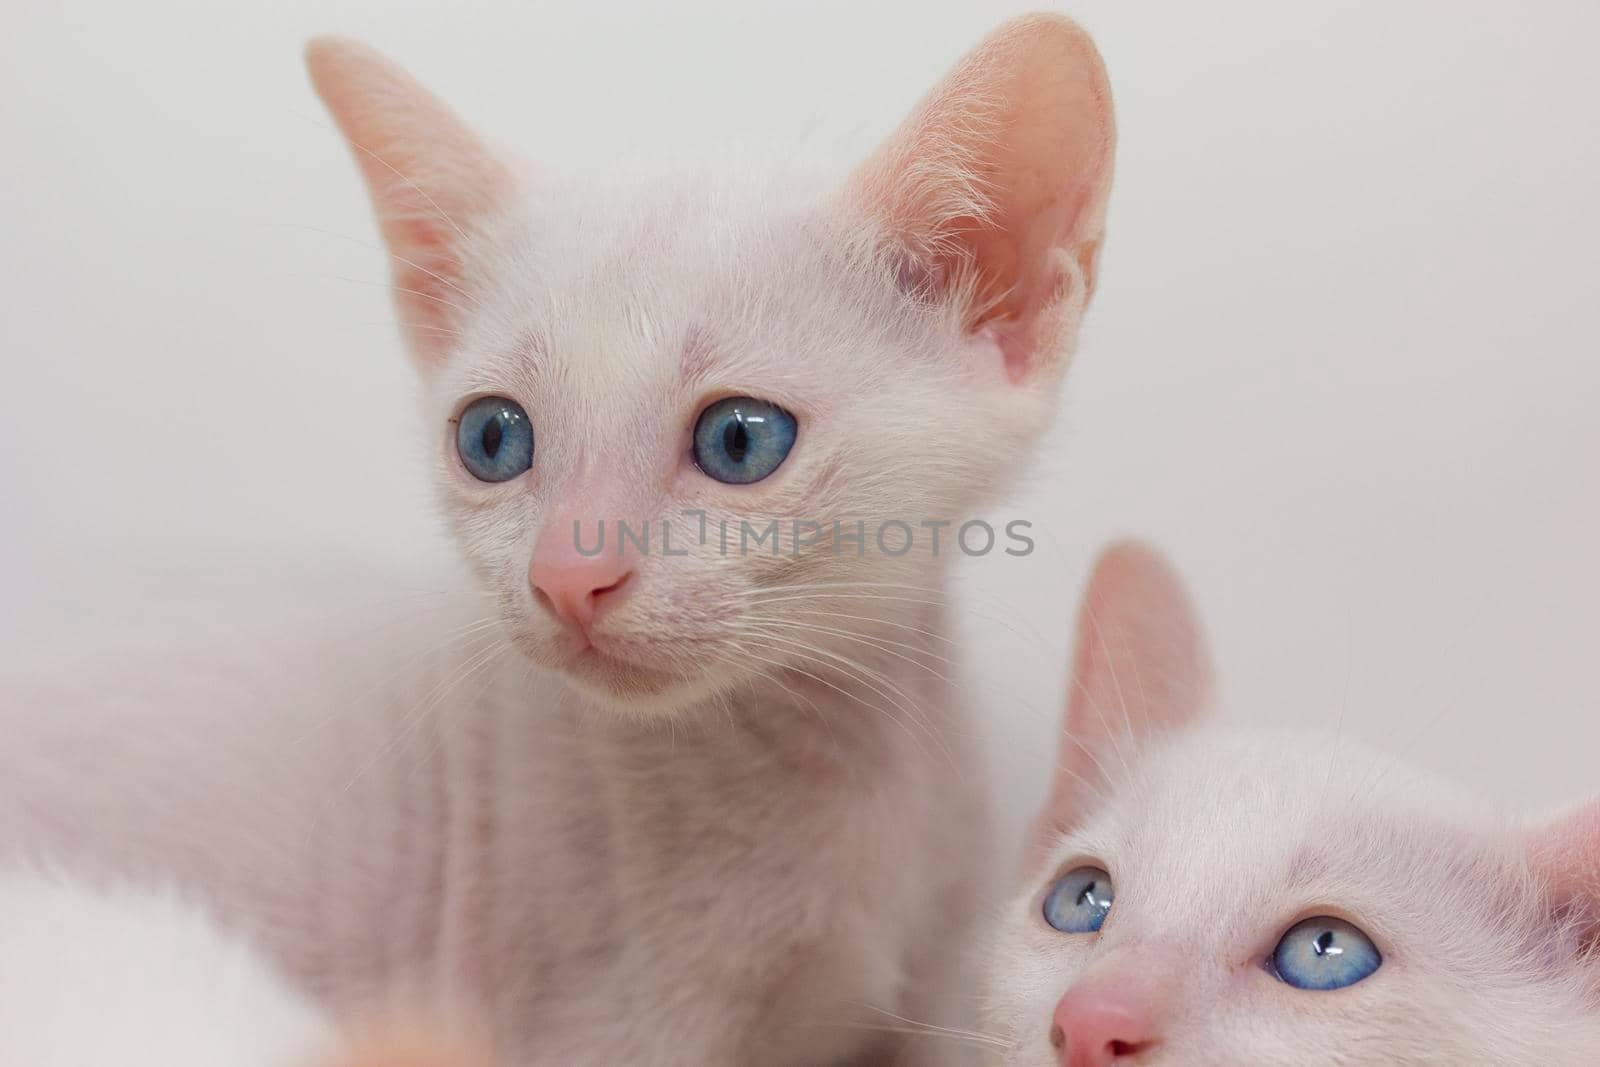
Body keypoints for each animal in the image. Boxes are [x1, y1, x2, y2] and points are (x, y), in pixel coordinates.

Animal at [3, 14, 1113, 1067]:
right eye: (493, 438)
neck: (846, 781)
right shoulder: (599, 1016)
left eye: (739, 438)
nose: (568, 575)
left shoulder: (936, 978)